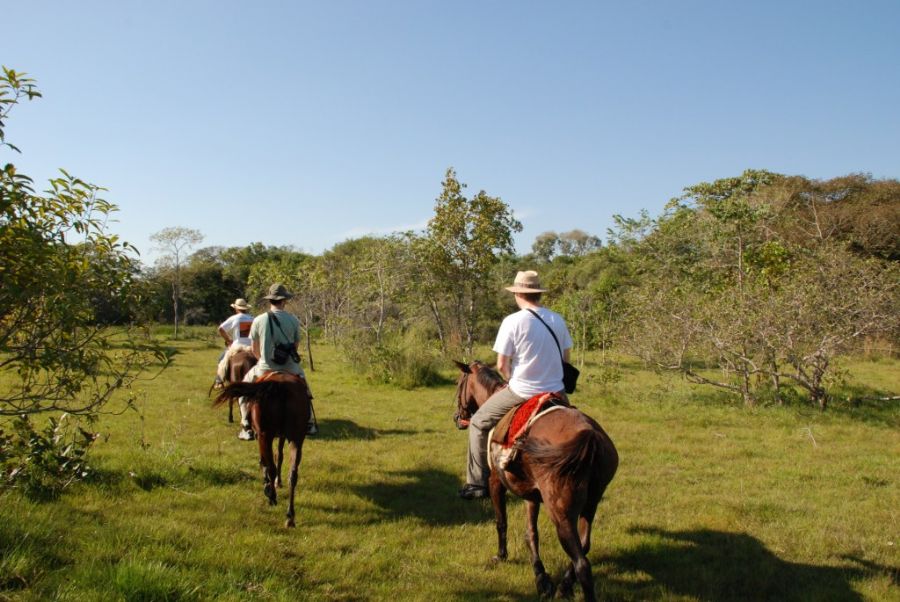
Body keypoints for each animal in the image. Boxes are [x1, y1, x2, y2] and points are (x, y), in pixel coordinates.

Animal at [213, 372, 312, 528]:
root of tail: (280, 385)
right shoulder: (283, 436)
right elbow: (280, 455)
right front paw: (278, 482)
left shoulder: (261, 435)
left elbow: (265, 461)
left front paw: (268, 485)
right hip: (297, 438)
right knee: (293, 474)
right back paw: (290, 516)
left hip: (265, 435)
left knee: (271, 467)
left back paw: (272, 496)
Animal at [454, 358, 616, 596]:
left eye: (458, 384)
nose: (457, 418)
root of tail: (591, 436)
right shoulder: (530, 494)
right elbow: (531, 533)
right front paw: (541, 577)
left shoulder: (495, 481)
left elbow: (501, 521)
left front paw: (501, 555)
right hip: (591, 503)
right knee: (585, 545)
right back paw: (564, 583)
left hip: (561, 512)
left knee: (582, 562)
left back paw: (565, 587)